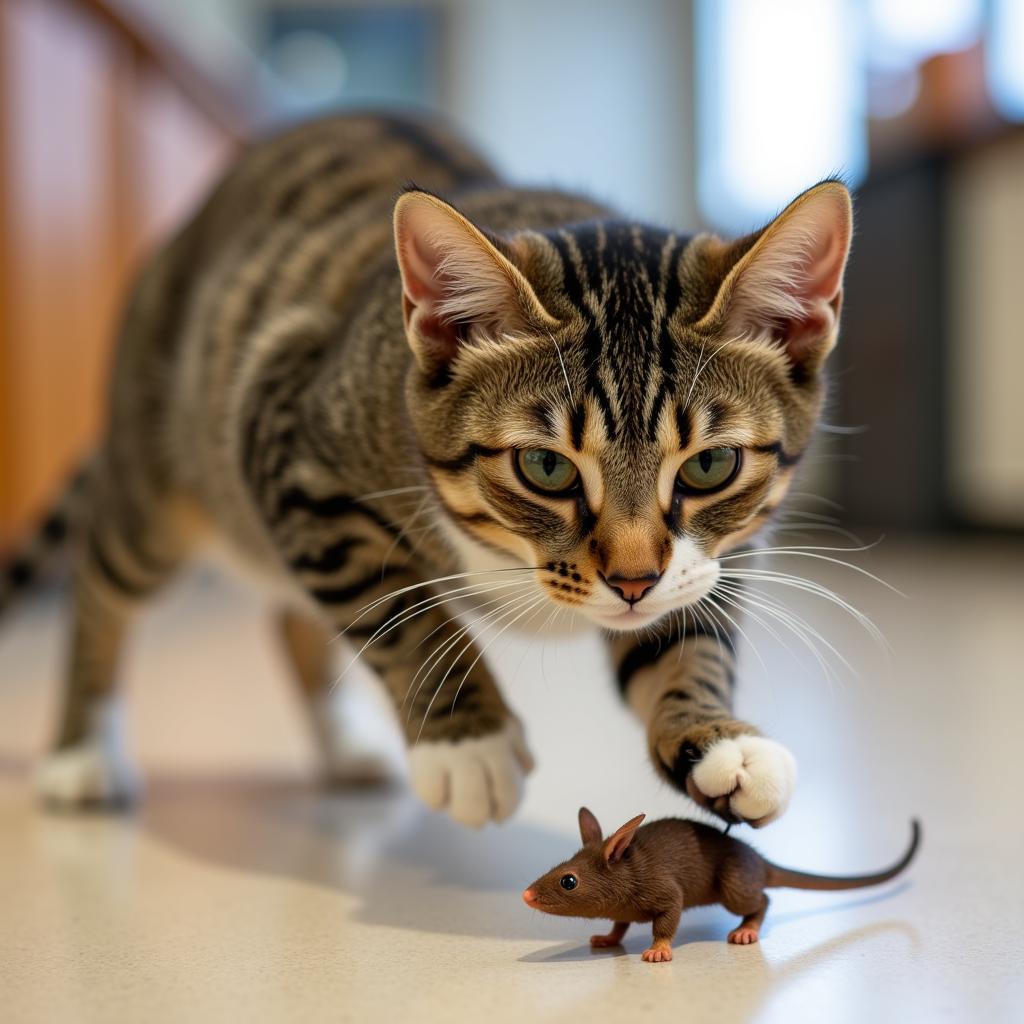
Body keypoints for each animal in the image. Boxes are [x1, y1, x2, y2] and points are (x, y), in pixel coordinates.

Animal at [0, 112, 847, 827]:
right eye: (546, 467)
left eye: (711, 466)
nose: (632, 581)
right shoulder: (289, 443)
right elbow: (399, 610)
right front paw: (467, 742)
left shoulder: (710, 558)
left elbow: (687, 638)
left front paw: (717, 741)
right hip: (164, 476)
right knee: (102, 578)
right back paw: (81, 750)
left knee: (290, 610)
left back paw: (344, 743)